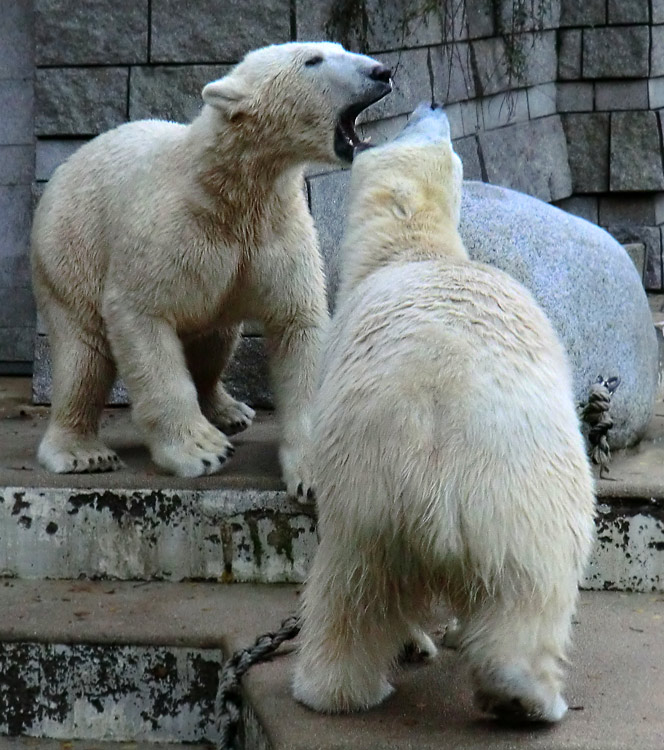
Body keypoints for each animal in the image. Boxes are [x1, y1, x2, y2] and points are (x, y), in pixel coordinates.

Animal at [31, 42, 392, 488]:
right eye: (313, 60)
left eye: (340, 48)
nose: (382, 71)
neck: (230, 187)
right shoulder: (169, 231)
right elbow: (141, 314)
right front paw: (200, 451)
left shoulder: (274, 232)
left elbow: (298, 324)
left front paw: (315, 470)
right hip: (68, 255)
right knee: (83, 356)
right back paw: (82, 452)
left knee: (215, 341)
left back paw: (229, 410)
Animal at [294, 104, 592, 724]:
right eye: (441, 136)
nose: (430, 104)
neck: (417, 251)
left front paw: (424, 640)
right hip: (518, 492)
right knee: (528, 592)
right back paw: (524, 697)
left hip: (368, 492)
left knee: (351, 585)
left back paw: (331, 689)